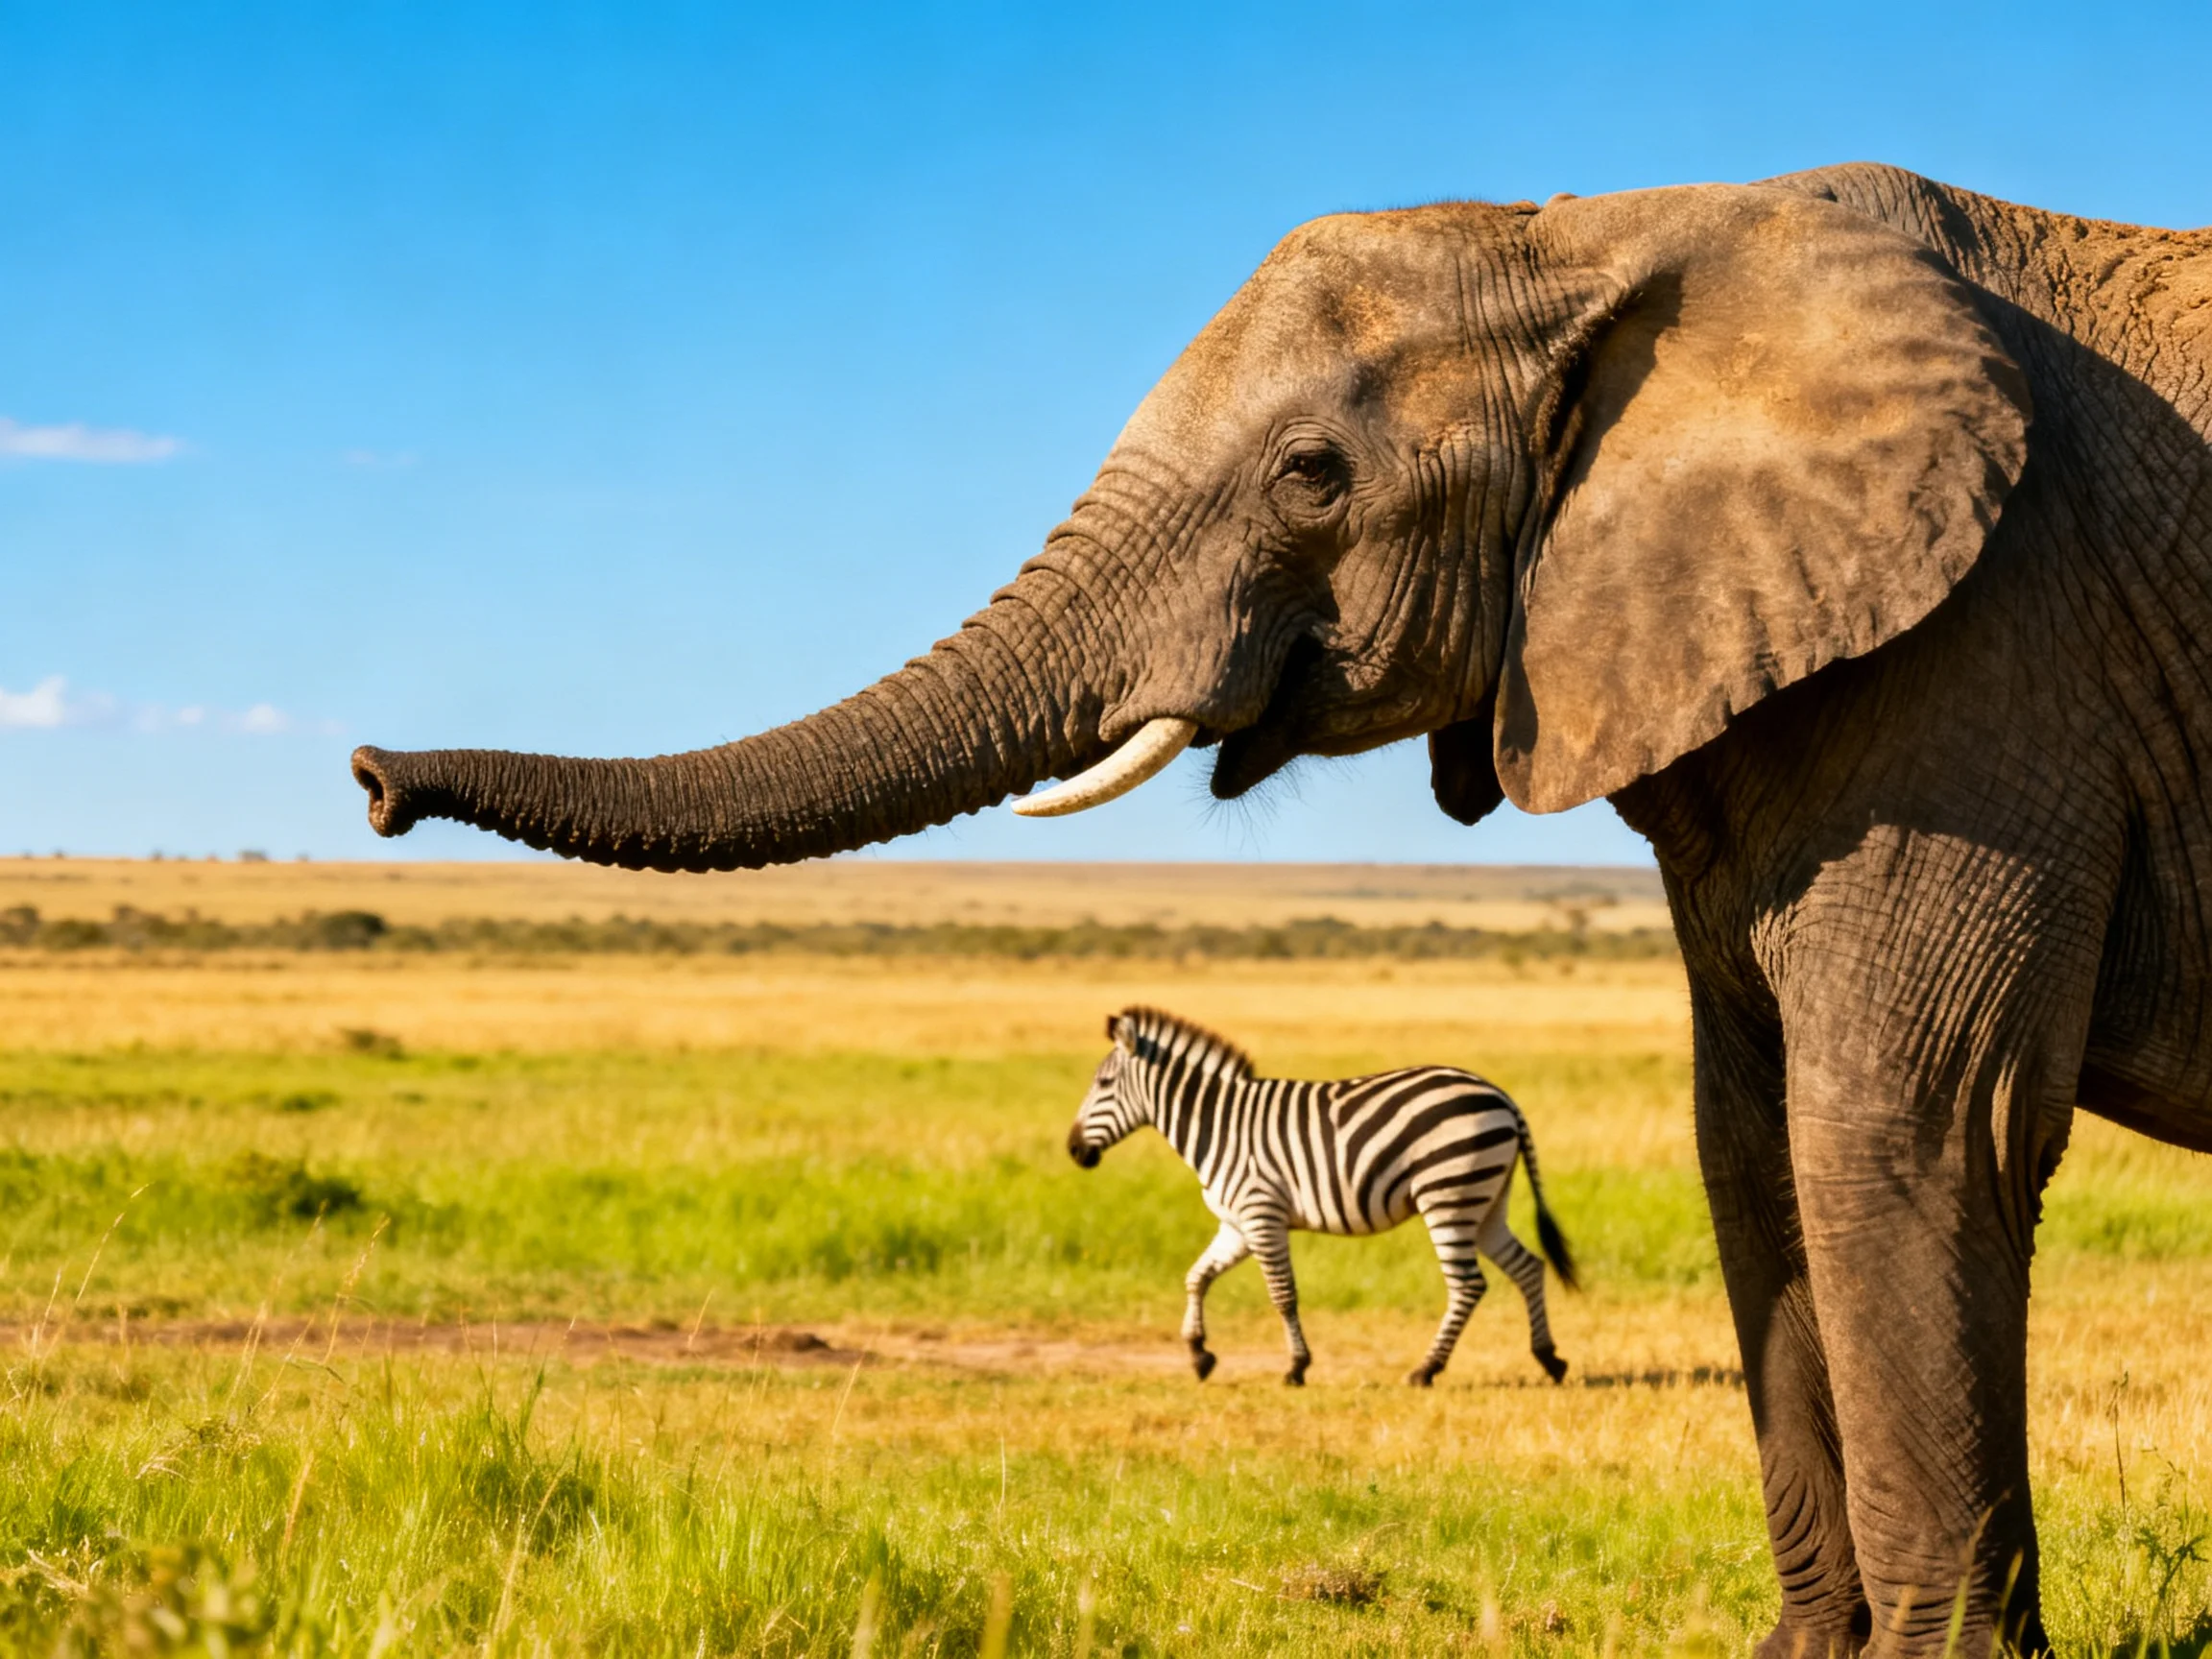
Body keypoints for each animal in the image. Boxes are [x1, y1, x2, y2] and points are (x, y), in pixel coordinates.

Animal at [1066, 1005, 1577, 1387]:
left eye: (1103, 1085)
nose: (1073, 1150)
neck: (1218, 1126)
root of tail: (1502, 1097)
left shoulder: (1261, 1213)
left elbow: (1282, 1294)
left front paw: (1296, 1367)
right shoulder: (1236, 1223)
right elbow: (1197, 1277)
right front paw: (1199, 1355)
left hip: (1448, 1193)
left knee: (1468, 1285)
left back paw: (1426, 1370)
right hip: (1486, 1201)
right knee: (1528, 1266)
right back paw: (1549, 1359)